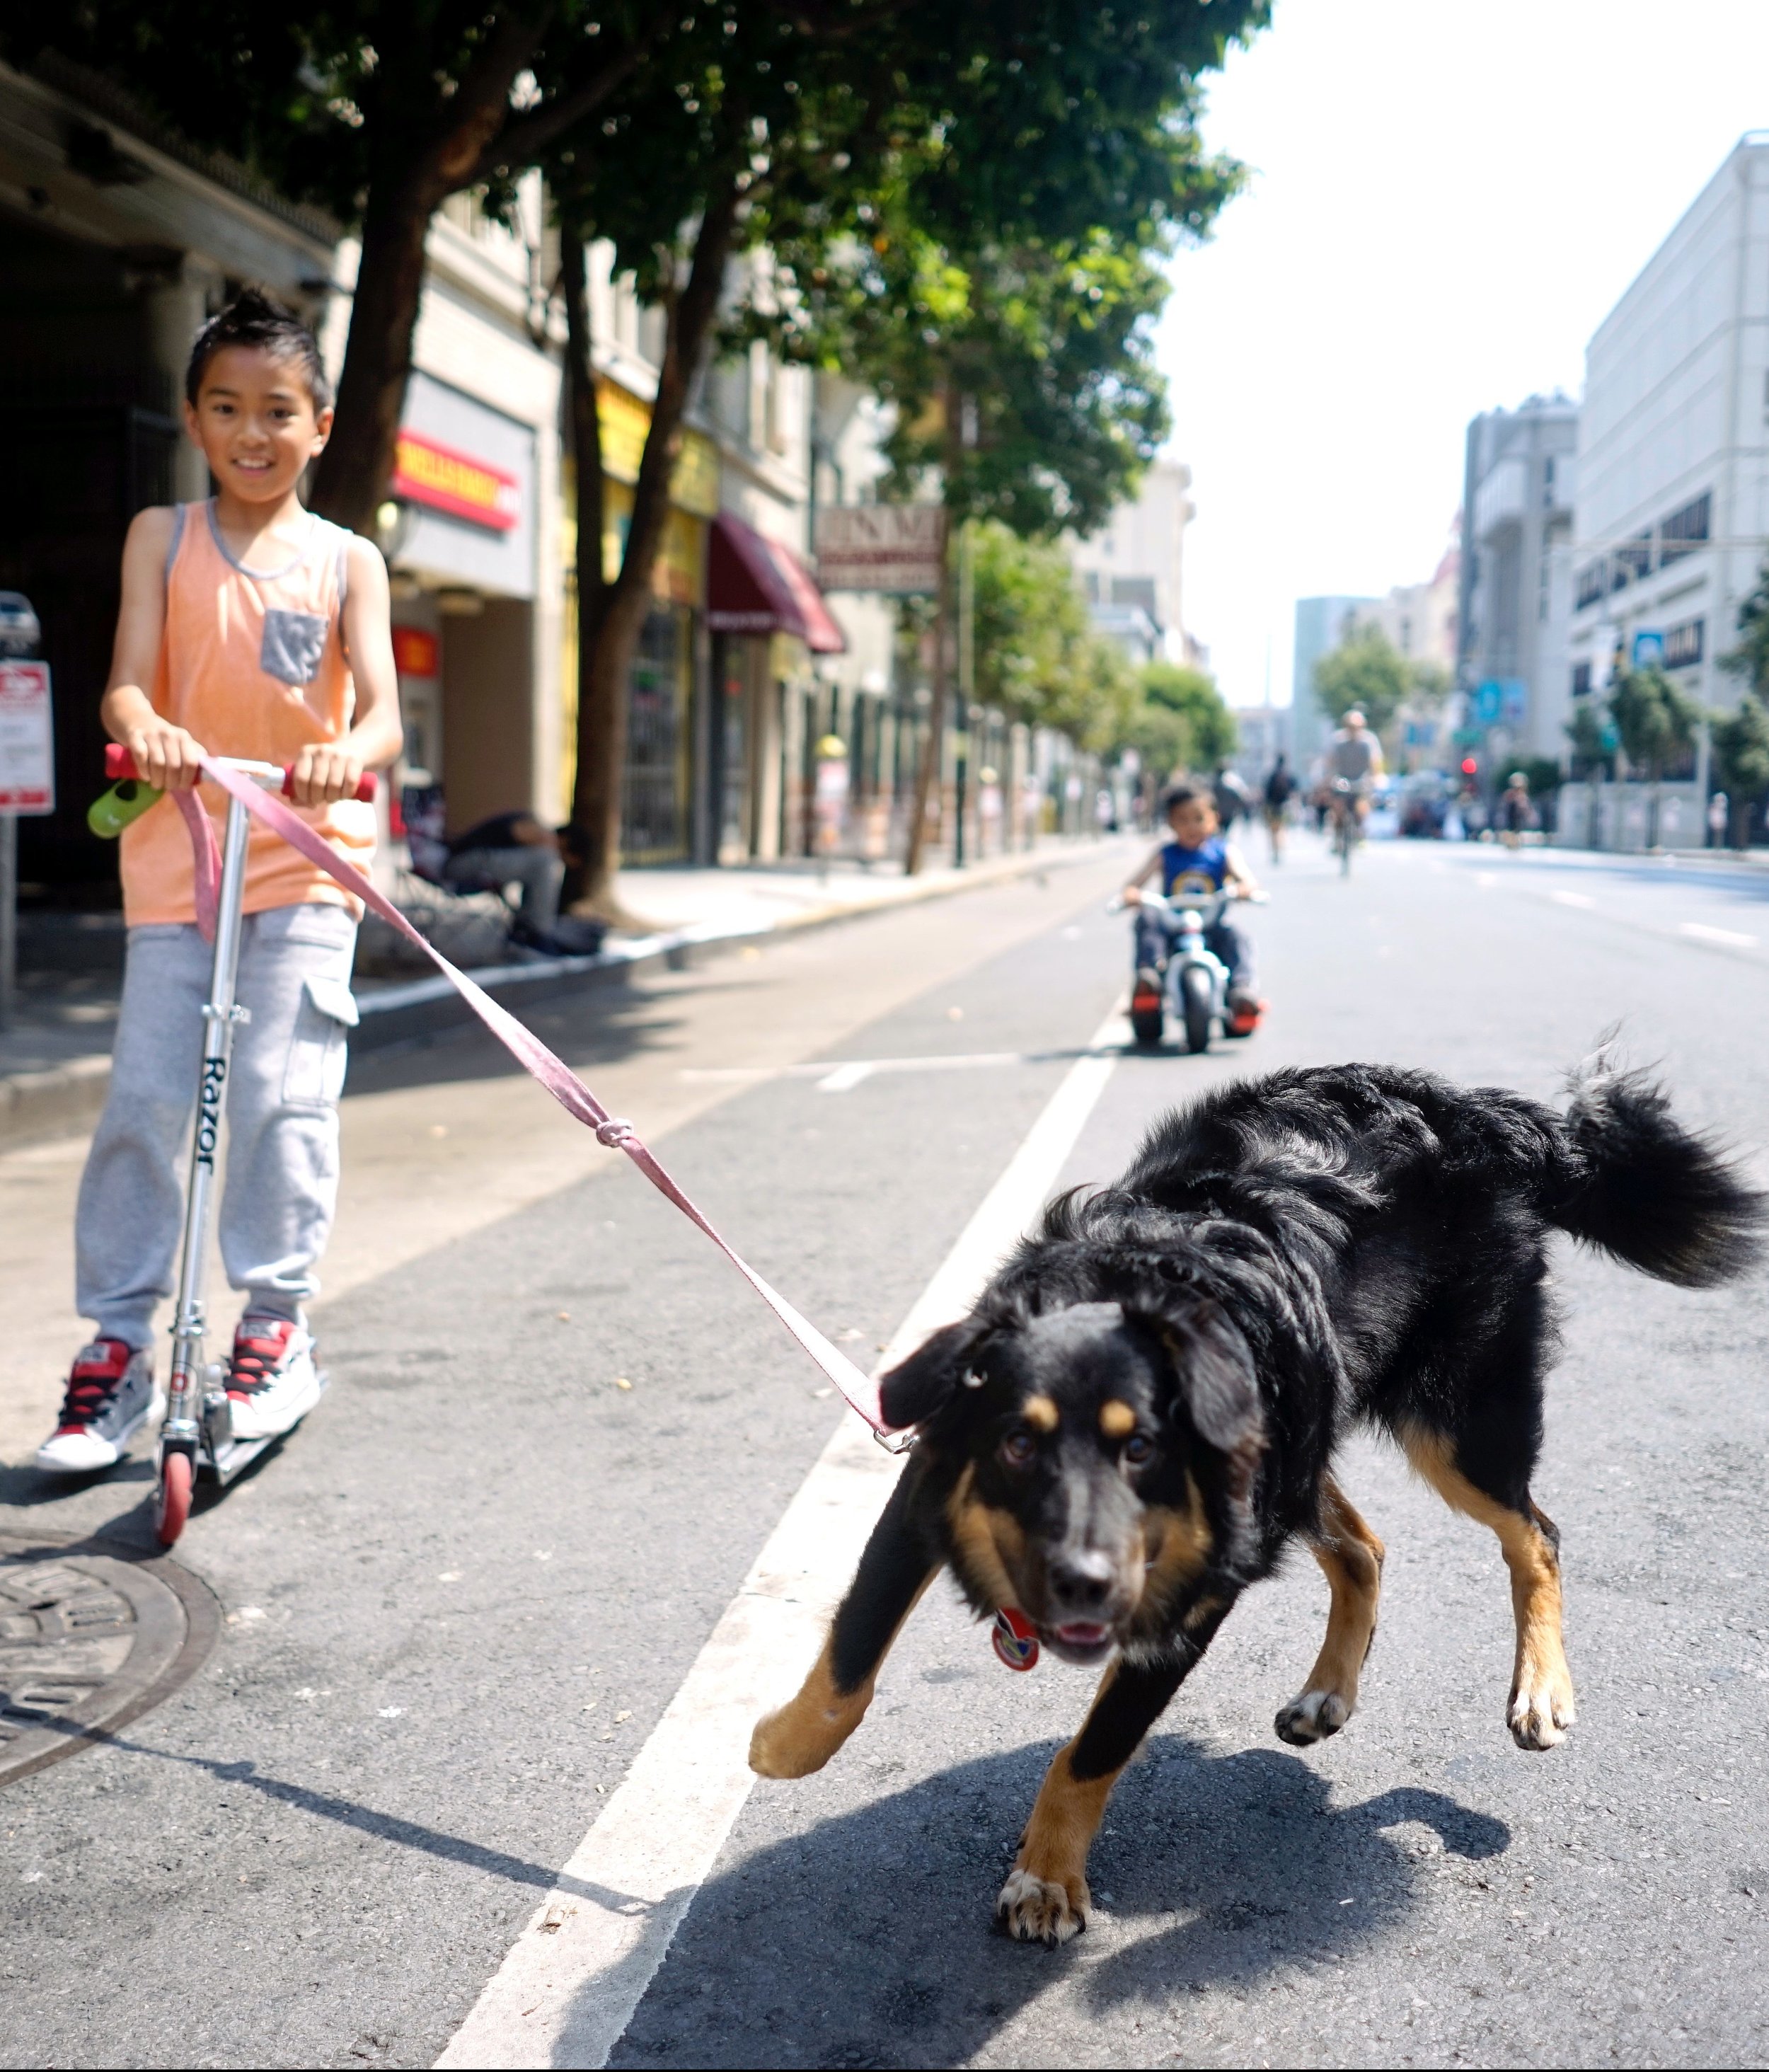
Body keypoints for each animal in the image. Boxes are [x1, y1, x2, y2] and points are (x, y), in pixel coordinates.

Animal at [745, 1061, 1756, 1947]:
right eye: (1018, 1447)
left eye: (1143, 1453)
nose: (1081, 1585)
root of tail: (1479, 1114)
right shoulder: (929, 1486)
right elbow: (850, 1660)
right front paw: (777, 1749)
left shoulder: (1191, 1592)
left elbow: (1093, 1749)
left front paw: (1047, 1877)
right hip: (1303, 1442)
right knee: (1364, 1547)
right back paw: (1327, 1693)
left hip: (1451, 1423)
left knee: (1535, 1534)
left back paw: (1540, 1689)